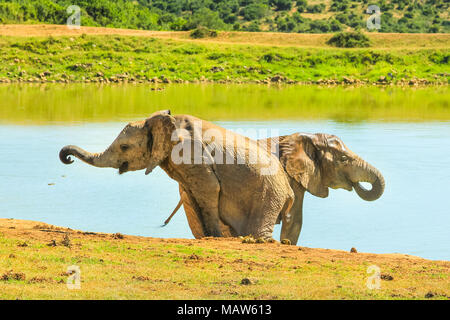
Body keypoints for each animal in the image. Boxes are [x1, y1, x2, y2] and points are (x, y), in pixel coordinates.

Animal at [58, 110, 294, 240]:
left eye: (124, 147)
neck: (165, 121)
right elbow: (193, 196)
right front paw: (208, 237)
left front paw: (214, 238)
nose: (67, 158)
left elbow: (209, 188)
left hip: (267, 194)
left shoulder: (191, 155)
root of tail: (289, 189)